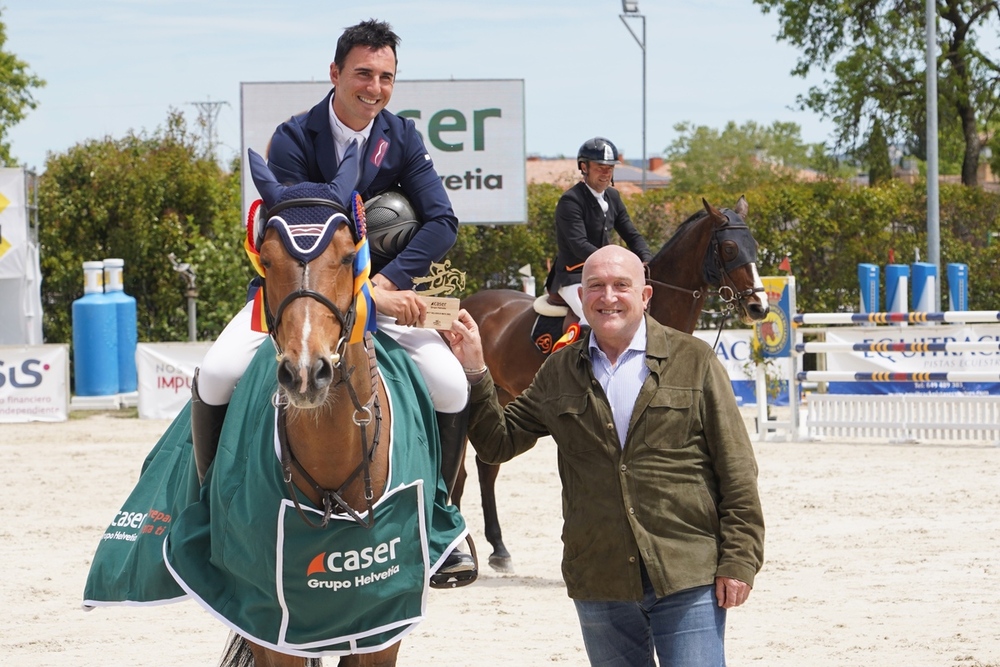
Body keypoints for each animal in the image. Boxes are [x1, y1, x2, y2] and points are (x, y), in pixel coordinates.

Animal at [458, 196, 768, 572]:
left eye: (755, 246)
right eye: (729, 248)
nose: (759, 306)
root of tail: (470, 302)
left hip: (503, 397)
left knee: (486, 469)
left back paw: (499, 549)